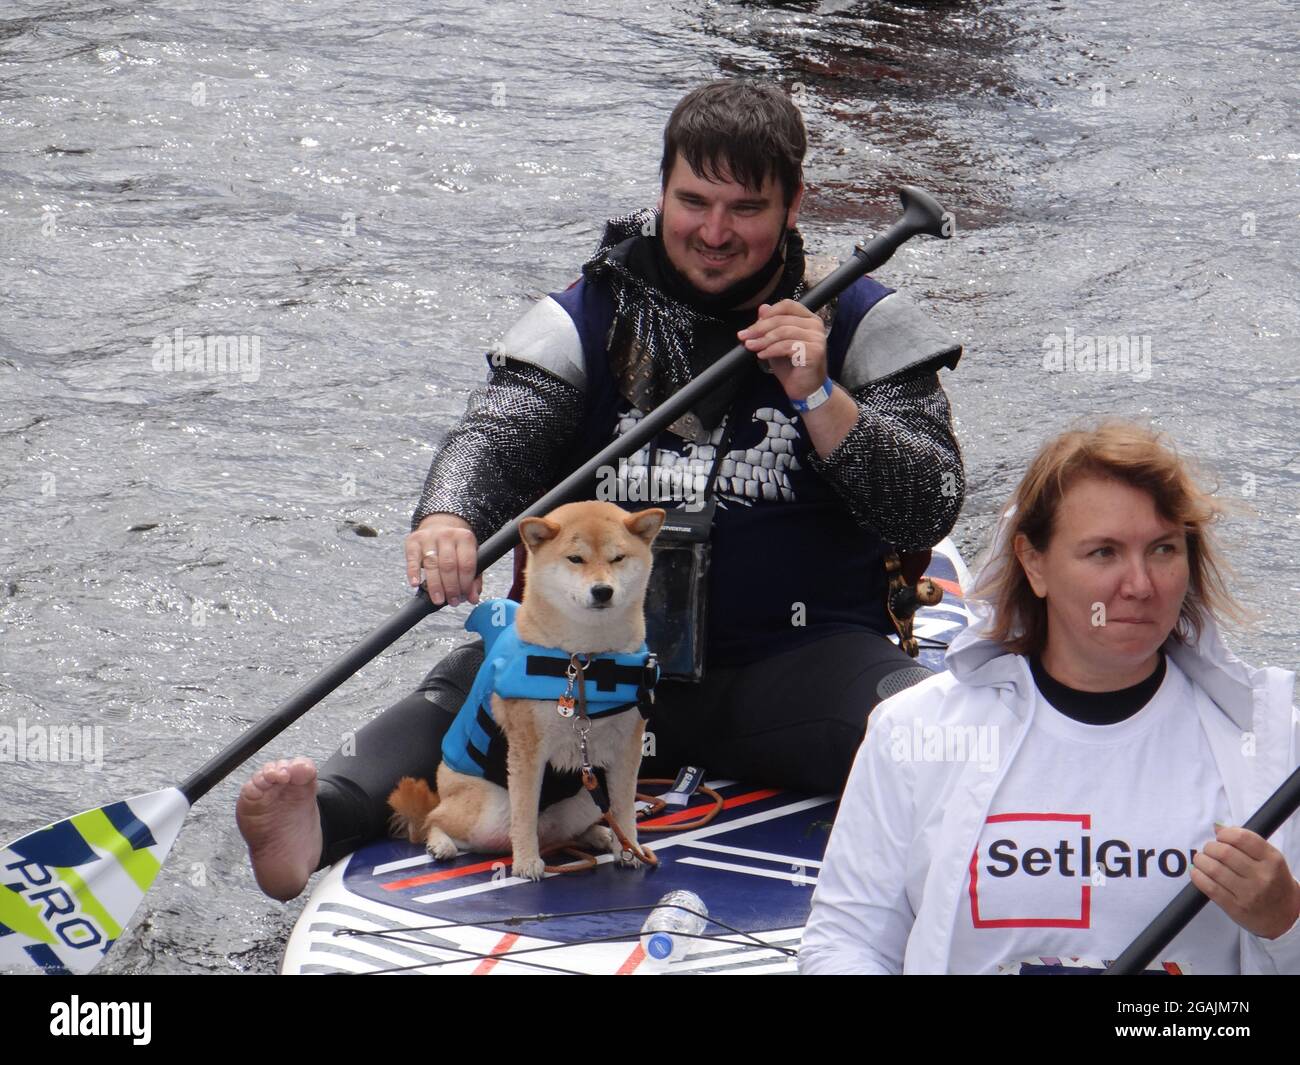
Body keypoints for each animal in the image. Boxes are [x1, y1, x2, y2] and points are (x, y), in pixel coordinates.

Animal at [387, 504, 665, 879]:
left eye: (618, 557)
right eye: (575, 558)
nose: (602, 591)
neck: (584, 662)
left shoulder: (628, 746)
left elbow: (624, 808)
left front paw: (630, 849)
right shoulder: (527, 750)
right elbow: (524, 813)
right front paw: (526, 862)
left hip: (587, 799)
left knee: (573, 828)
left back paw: (599, 835)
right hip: (486, 812)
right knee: (434, 820)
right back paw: (441, 842)